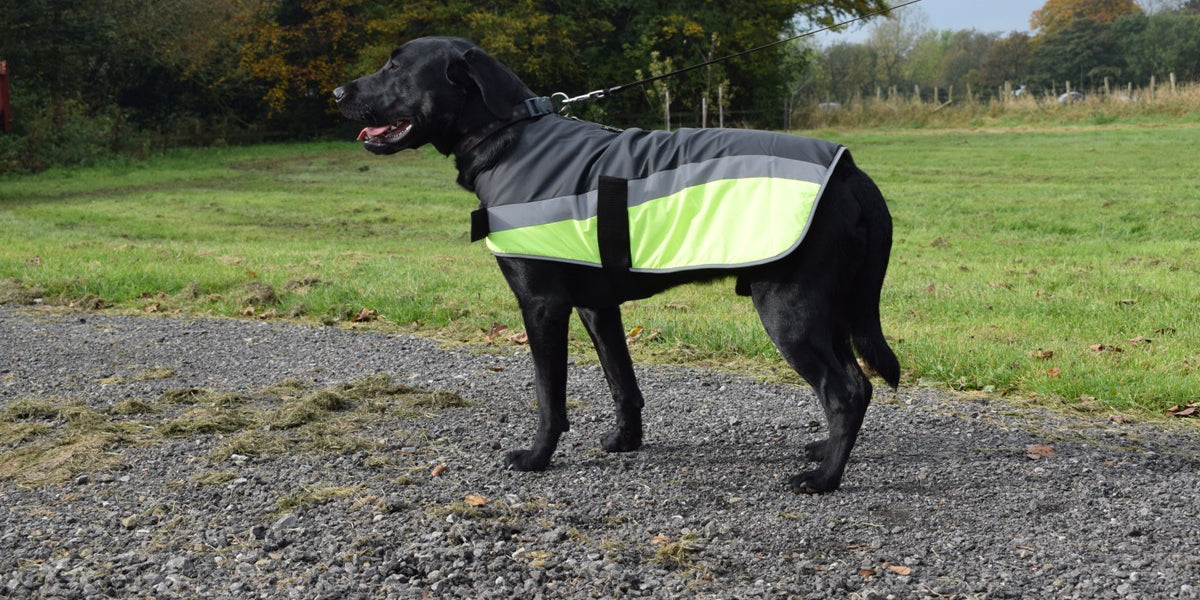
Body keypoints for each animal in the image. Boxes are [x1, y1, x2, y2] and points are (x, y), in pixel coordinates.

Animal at [333, 36, 897, 492]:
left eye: (395, 66)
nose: (336, 94)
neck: (507, 138)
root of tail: (851, 172)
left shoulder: (542, 305)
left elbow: (549, 396)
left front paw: (537, 457)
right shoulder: (597, 308)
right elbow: (622, 383)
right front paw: (626, 441)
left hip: (789, 310)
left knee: (846, 391)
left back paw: (824, 479)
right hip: (834, 309)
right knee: (855, 383)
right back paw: (824, 450)